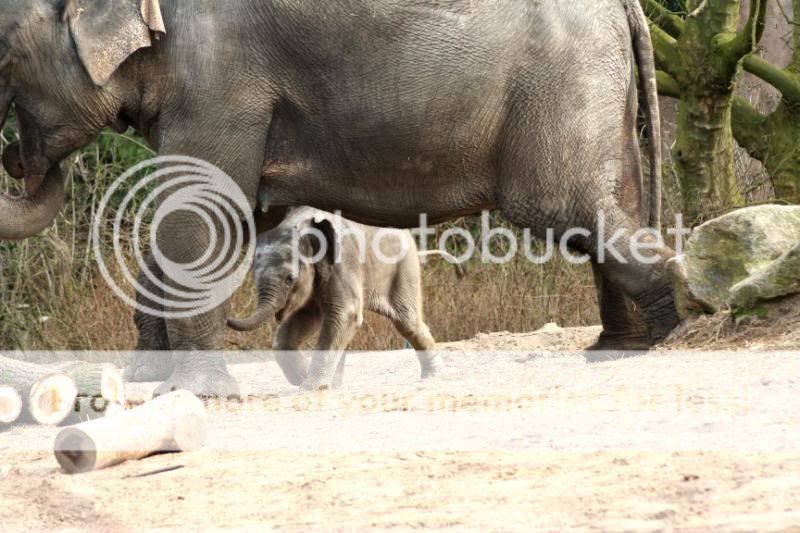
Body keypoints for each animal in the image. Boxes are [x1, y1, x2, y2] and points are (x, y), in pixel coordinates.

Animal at [227, 208, 462, 390]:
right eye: (253, 276)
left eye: (289, 279)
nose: (227, 318)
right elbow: (306, 317)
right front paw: (302, 379)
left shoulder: (343, 263)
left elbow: (346, 314)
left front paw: (310, 387)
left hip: (403, 266)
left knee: (407, 321)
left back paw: (432, 375)